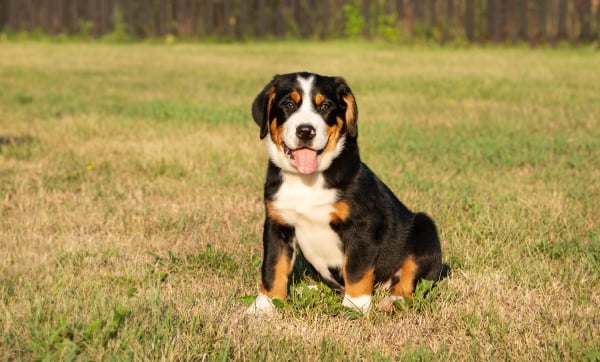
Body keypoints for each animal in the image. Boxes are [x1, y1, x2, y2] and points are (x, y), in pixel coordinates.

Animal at [246, 71, 448, 314]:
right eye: (288, 104)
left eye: (325, 106)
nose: (306, 131)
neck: (308, 180)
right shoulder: (278, 224)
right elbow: (273, 267)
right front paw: (264, 306)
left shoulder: (362, 225)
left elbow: (356, 269)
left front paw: (355, 307)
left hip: (424, 228)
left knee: (409, 280)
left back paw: (392, 301)